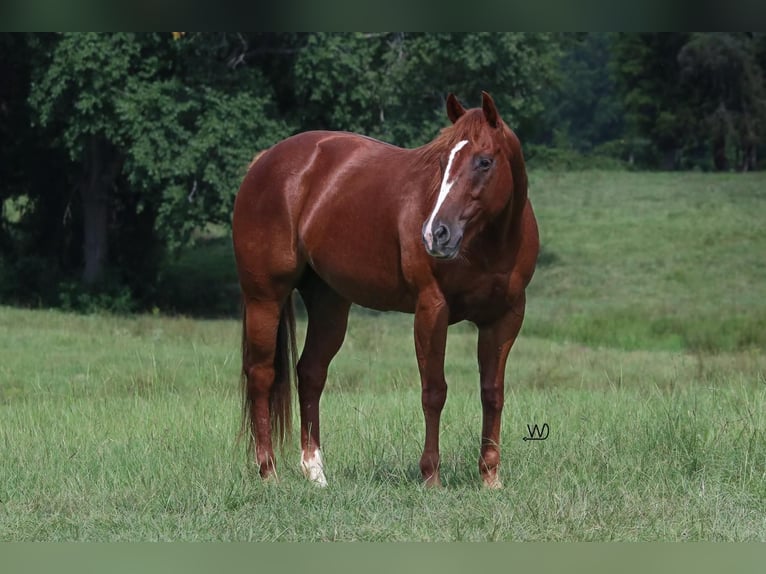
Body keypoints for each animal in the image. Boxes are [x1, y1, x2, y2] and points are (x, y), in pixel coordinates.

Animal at [234, 92, 540, 488]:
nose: (435, 233)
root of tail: (264, 161)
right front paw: (430, 476)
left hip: (329, 303)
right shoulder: (431, 309)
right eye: (442, 161)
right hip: (265, 298)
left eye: (484, 162)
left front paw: (490, 478)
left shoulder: (504, 318)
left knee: (311, 372)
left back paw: (316, 474)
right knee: (261, 375)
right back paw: (268, 472)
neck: (491, 244)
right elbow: (434, 392)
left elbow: (492, 393)